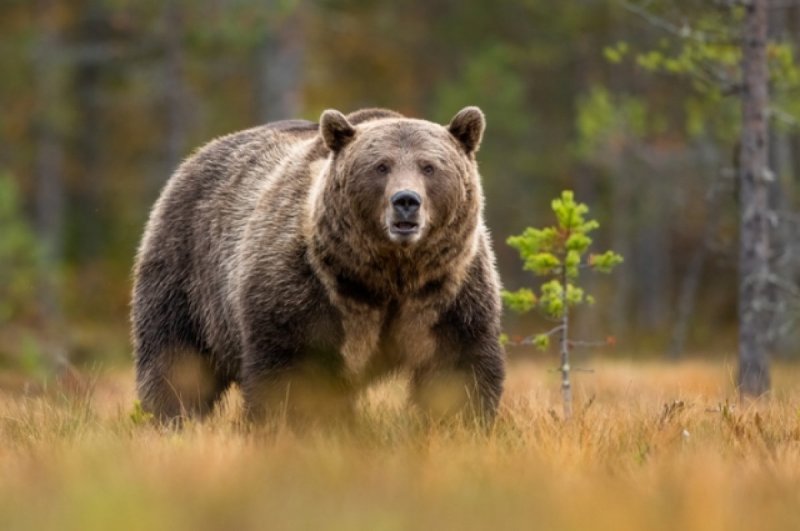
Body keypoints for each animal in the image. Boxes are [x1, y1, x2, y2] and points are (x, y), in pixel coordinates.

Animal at [131, 106, 505, 427]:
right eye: (381, 166)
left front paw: (460, 423)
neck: (387, 275)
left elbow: (457, 368)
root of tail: (195, 157)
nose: (406, 201)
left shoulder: (445, 292)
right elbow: (293, 373)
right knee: (176, 360)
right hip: (187, 271)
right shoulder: (307, 287)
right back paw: (170, 418)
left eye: (429, 167)